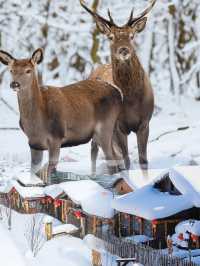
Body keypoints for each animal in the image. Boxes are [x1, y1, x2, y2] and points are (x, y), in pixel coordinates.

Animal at [0, 48, 122, 184]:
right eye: (11, 70)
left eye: (28, 70)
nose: (14, 84)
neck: (37, 123)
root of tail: (117, 92)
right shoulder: (34, 143)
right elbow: (33, 172)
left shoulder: (56, 137)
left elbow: (50, 172)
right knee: (117, 156)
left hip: (105, 127)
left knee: (112, 160)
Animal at [80, 0, 155, 170]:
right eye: (111, 37)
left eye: (132, 36)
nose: (124, 50)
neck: (132, 99)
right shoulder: (119, 126)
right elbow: (126, 160)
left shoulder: (145, 122)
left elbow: (143, 160)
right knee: (95, 151)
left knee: (112, 156)